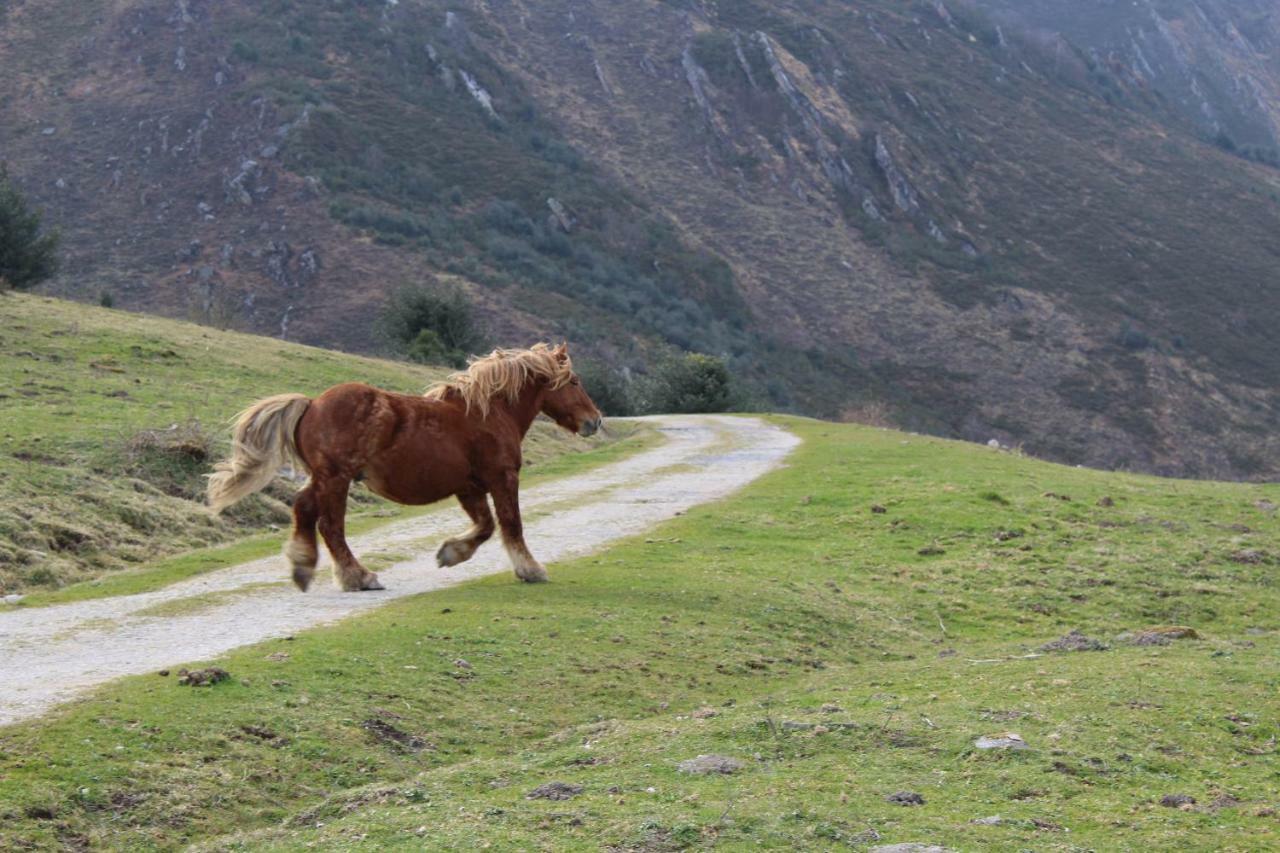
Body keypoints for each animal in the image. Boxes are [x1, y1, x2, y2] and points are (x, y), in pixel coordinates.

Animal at [208, 345, 604, 591]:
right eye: (574, 382)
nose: (595, 421)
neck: (489, 413)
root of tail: (312, 404)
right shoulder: (502, 478)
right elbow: (511, 525)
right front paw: (530, 569)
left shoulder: (469, 487)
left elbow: (486, 527)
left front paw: (450, 554)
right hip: (336, 478)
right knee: (330, 526)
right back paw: (358, 577)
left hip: (323, 477)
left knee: (304, 510)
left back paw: (303, 567)